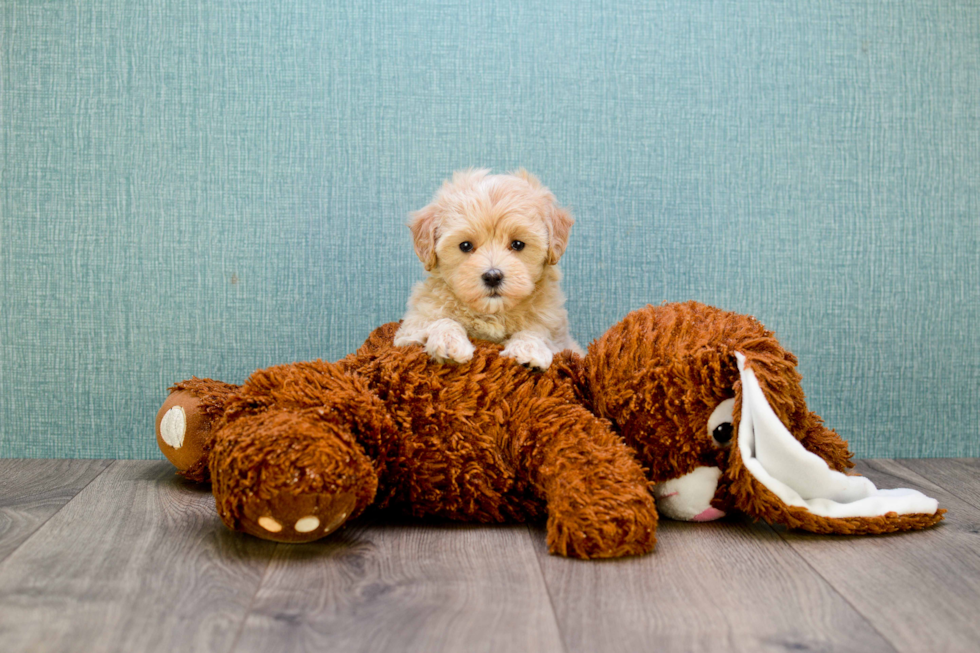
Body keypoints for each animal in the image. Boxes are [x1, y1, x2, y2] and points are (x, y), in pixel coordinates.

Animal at [394, 168, 584, 370]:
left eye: (517, 244)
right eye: (466, 246)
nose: (493, 276)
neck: (493, 314)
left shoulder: (561, 340)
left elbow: (536, 331)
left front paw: (529, 349)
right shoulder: (410, 329)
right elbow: (440, 321)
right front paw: (449, 341)